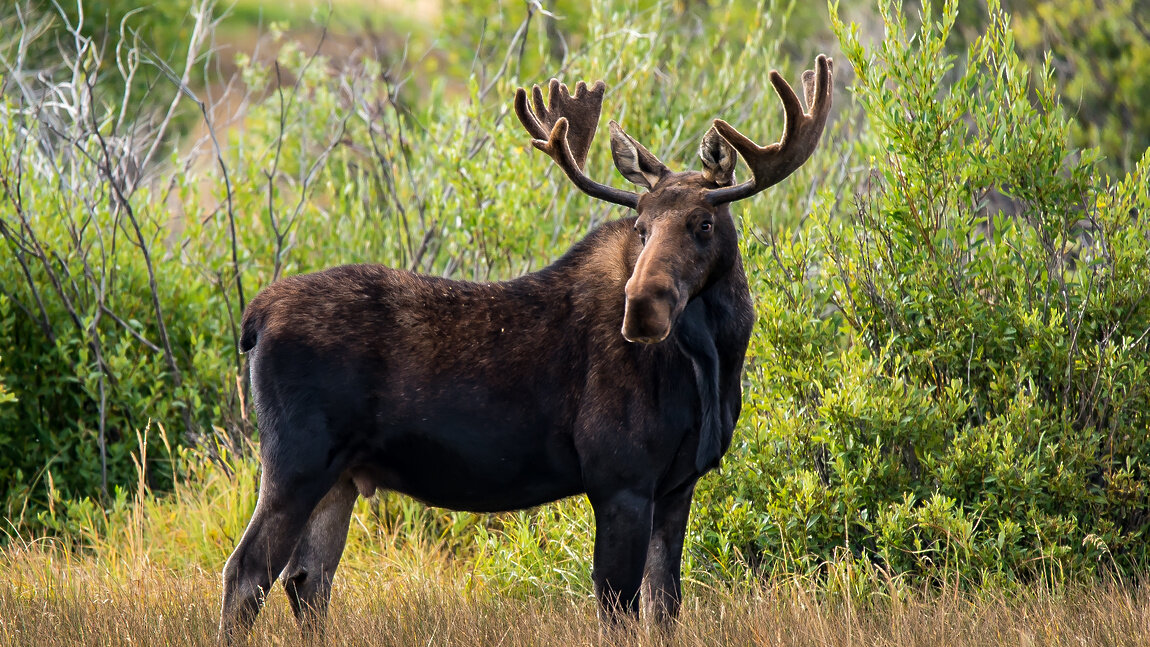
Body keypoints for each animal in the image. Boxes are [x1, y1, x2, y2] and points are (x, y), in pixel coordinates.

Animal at [221, 54, 837, 638]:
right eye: (640, 226)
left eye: (704, 222)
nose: (642, 308)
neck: (714, 362)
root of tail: (254, 318)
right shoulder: (619, 481)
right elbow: (617, 611)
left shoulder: (676, 486)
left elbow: (665, 608)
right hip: (296, 460)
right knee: (247, 571)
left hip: (341, 476)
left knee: (307, 578)